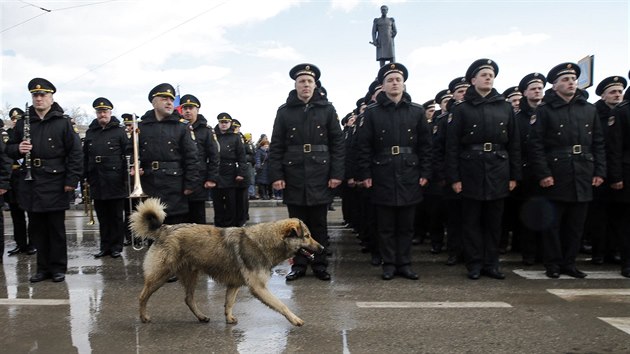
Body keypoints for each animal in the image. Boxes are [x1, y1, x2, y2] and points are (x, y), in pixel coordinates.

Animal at [130, 198, 324, 324]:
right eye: (307, 236)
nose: (322, 248)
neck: (265, 242)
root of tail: (164, 229)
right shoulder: (259, 288)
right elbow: (281, 305)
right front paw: (295, 319)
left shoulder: (234, 284)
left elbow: (229, 302)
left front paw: (229, 318)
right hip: (160, 275)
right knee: (142, 296)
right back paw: (143, 317)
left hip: (191, 275)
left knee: (188, 299)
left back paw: (201, 317)